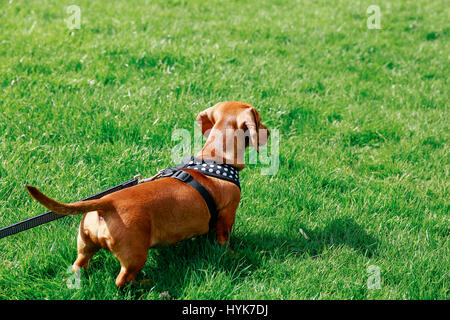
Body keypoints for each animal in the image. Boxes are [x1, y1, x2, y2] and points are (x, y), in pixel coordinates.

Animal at [26, 102, 268, 288]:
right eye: (258, 118)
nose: (269, 130)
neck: (213, 158)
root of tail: (106, 202)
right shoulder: (227, 214)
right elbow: (223, 239)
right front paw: (233, 255)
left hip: (85, 246)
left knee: (79, 265)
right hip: (135, 256)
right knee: (122, 280)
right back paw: (146, 283)